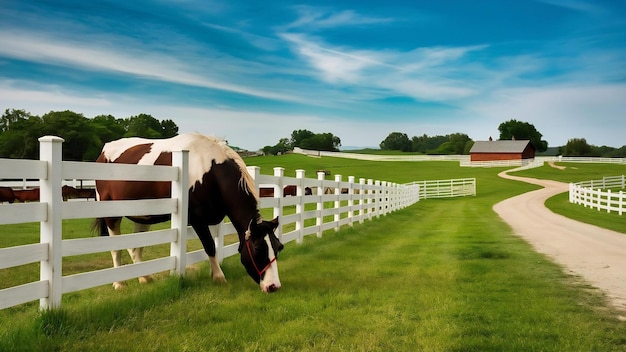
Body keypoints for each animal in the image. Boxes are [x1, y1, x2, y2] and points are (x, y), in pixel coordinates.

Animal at [93, 133, 282, 292]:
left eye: (279, 247)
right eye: (258, 249)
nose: (273, 286)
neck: (209, 170)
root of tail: (103, 151)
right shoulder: (197, 219)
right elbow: (210, 246)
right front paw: (219, 277)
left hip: (143, 216)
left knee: (135, 249)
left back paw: (145, 278)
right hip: (110, 213)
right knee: (116, 248)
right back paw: (119, 283)